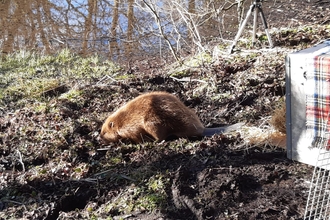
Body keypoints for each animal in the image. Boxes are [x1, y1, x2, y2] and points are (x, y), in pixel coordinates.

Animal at [99, 90, 244, 144]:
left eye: (105, 132)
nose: (100, 137)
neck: (121, 121)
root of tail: (201, 129)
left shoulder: (131, 128)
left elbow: (137, 136)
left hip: (153, 123)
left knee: (162, 137)